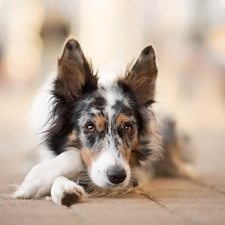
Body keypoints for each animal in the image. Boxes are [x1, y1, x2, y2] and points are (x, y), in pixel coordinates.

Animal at [12, 38, 195, 206]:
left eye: (128, 128)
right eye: (90, 127)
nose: (118, 176)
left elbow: (75, 156)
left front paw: (38, 178)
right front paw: (63, 187)